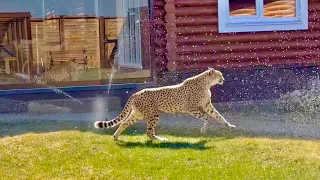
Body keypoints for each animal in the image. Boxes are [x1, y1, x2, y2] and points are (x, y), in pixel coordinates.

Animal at [94, 68, 236, 141]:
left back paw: (116, 137)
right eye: (220, 75)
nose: (223, 79)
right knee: (148, 132)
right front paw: (204, 130)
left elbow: (218, 116)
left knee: (124, 122)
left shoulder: (207, 106)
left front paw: (229, 126)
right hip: (153, 114)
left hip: (138, 114)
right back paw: (161, 139)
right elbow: (207, 118)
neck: (206, 83)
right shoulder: (190, 109)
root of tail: (136, 93)